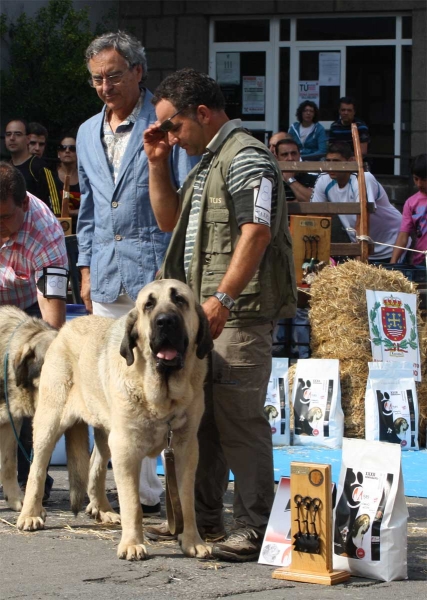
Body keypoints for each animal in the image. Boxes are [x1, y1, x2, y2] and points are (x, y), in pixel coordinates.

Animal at [17, 282, 214, 564]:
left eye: (180, 300)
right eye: (148, 305)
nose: (165, 321)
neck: (161, 395)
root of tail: (64, 329)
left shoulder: (185, 449)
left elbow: (186, 502)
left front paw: (192, 543)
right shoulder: (126, 449)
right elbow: (133, 504)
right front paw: (132, 544)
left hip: (105, 432)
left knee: (96, 466)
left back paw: (103, 509)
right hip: (50, 422)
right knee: (37, 469)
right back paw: (30, 514)